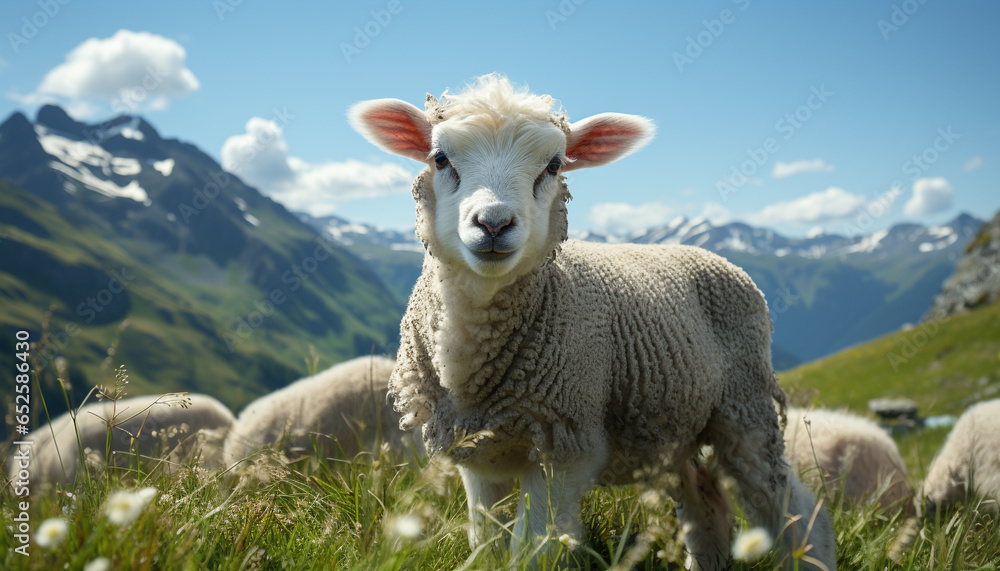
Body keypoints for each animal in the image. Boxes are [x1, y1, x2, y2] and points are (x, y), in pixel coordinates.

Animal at [349, 74, 836, 570]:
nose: (493, 224)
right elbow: (484, 542)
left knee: (789, 504)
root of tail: (714, 257)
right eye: (441, 158)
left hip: (744, 404)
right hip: (667, 430)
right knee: (705, 498)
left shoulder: (564, 441)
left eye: (553, 165)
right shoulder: (475, 451)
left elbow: (532, 549)